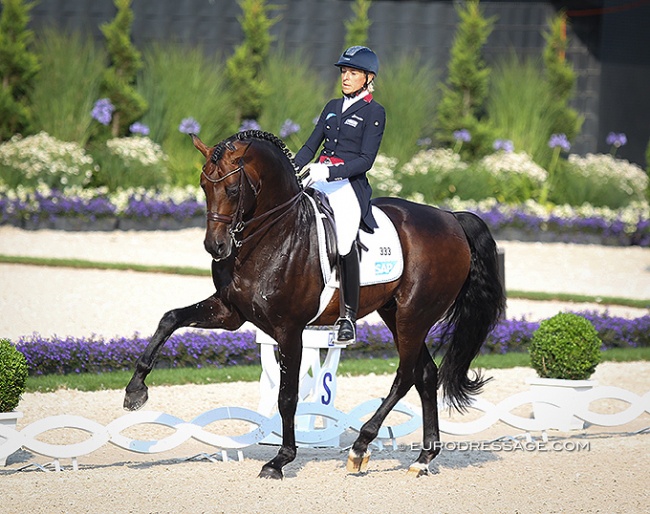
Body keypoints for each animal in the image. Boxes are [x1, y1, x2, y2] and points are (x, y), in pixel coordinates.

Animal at [123, 128, 506, 476]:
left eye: (232, 189)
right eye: (204, 186)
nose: (215, 247)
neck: (272, 233)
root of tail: (451, 218)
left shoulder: (289, 329)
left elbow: (287, 397)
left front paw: (280, 460)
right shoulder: (229, 312)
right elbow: (170, 318)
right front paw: (135, 390)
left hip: (414, 315)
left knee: (406, 375)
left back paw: (361, 447)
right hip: (395, 313)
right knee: (426, 373)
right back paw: (424, 458)